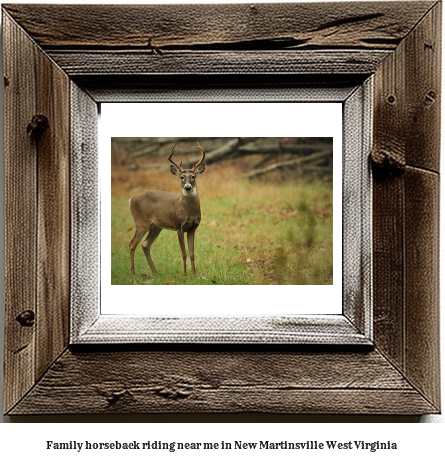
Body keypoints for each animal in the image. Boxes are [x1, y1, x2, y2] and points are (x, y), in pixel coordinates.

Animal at [127, 141, 206, 280]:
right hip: (141, 222)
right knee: (132, 244)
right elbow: (184, 253)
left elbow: (192, 253)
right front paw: (185, 275)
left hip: (156, 227)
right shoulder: (178, 225)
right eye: (181, 177)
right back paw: (133, 274)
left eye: (193, 176)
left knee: (145, 244)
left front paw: (194, 274)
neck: (189, 211)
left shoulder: (193, 228)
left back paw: (155, 273)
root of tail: (131, 199)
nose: (187, 187)